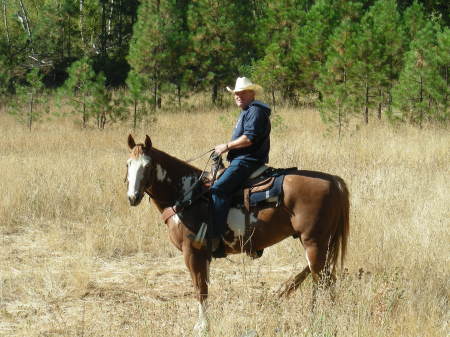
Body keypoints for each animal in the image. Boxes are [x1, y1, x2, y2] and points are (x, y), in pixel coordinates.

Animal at [125, 133, 350, 334]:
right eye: (128, 164)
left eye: (147, 166)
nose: (132, 197)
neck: (187, 194)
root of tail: (333, 180)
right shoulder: (203, 255)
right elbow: (204, 286)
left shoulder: (192, 252)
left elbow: (200, 289)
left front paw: (202, 326)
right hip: (323, 244)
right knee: (324, 279)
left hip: (314, 243)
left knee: (322, 279)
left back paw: (319, 319)